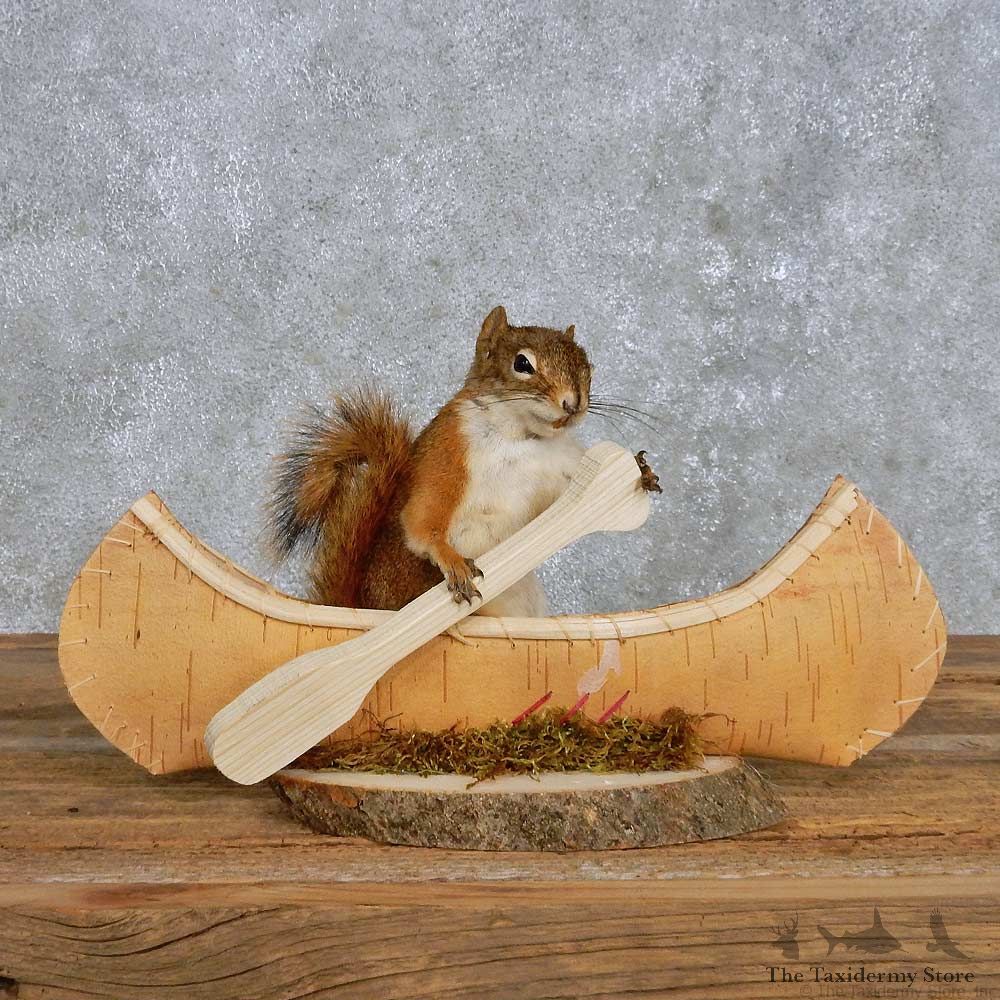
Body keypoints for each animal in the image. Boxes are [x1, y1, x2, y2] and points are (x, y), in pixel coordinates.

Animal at [266, 305, 660, 617]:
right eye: (522, 363)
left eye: (587, 365)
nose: (573, 404)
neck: (524, 437)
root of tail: (366, 608)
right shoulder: (449, 452)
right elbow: (423, 516)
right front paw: (451, 560)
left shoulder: (559, 468)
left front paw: (641, 472)